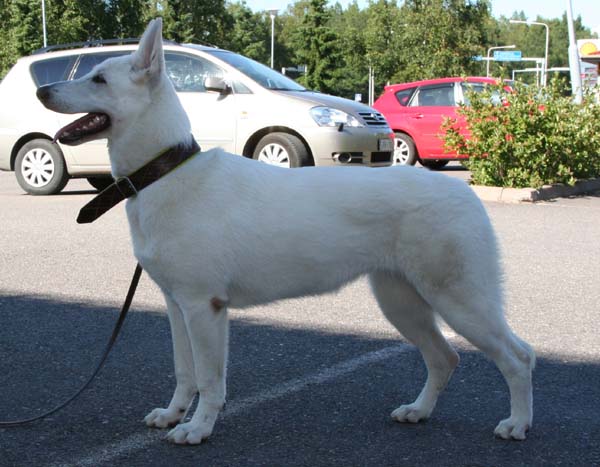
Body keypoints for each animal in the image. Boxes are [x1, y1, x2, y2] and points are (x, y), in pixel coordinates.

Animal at [37, 19, 536, 446]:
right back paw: (419, 411)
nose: (42, 89)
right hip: (402, 302)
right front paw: (173, 415)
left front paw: (197, 428)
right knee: (444, 357)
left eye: (99, 80)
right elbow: (184, 372)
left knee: (518, 357)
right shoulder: (177, 306)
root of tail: (465, 193)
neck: (163, 171)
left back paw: (516, 424)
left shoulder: (204, 307)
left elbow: (209, 380)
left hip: (459, 301)